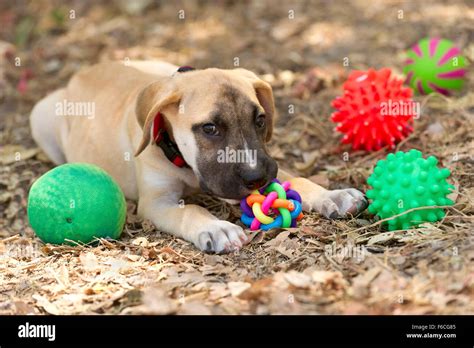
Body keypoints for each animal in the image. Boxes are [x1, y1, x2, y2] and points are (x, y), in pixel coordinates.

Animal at [31, 61, 368, 253]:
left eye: (260, 119)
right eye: (209, 128)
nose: (256, 178)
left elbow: (297, 178)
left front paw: (333, 195)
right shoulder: (157, 203)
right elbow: (189, 210)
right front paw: (217, 228)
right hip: (40, 115)